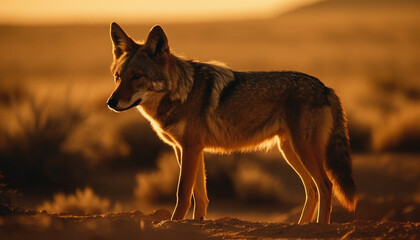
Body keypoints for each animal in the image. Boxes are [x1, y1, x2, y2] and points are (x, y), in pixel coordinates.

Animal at [106, 22, 356, 223]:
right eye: (118, 77)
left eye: (137, 76)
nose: (111, 102)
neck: (180, 92)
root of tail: (325, 87)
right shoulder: (188, 149)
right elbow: (200, 196)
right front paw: (197, 224)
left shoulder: (190, 148)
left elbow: (183, 193)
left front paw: (174, 224)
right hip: (290, 151)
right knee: (312, 190)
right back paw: (301, 227)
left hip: (303, 150)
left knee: (326, 186)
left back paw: (320, 226)